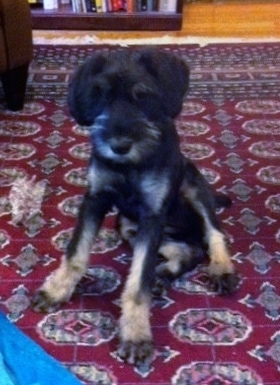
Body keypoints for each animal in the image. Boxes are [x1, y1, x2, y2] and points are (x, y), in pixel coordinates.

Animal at [32, 48, 238, 366]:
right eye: (100, 95)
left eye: (142, 95)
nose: (118, 146)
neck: (129, 166)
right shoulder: (95, 199)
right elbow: (76, 251)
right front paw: (56, 289)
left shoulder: (152, 214)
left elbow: (137, 281)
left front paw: (135, 334)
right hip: (127, 225)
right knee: (189, 251)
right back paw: (162, 276)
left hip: (194, 187)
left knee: (213, 234)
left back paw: (221, 269)